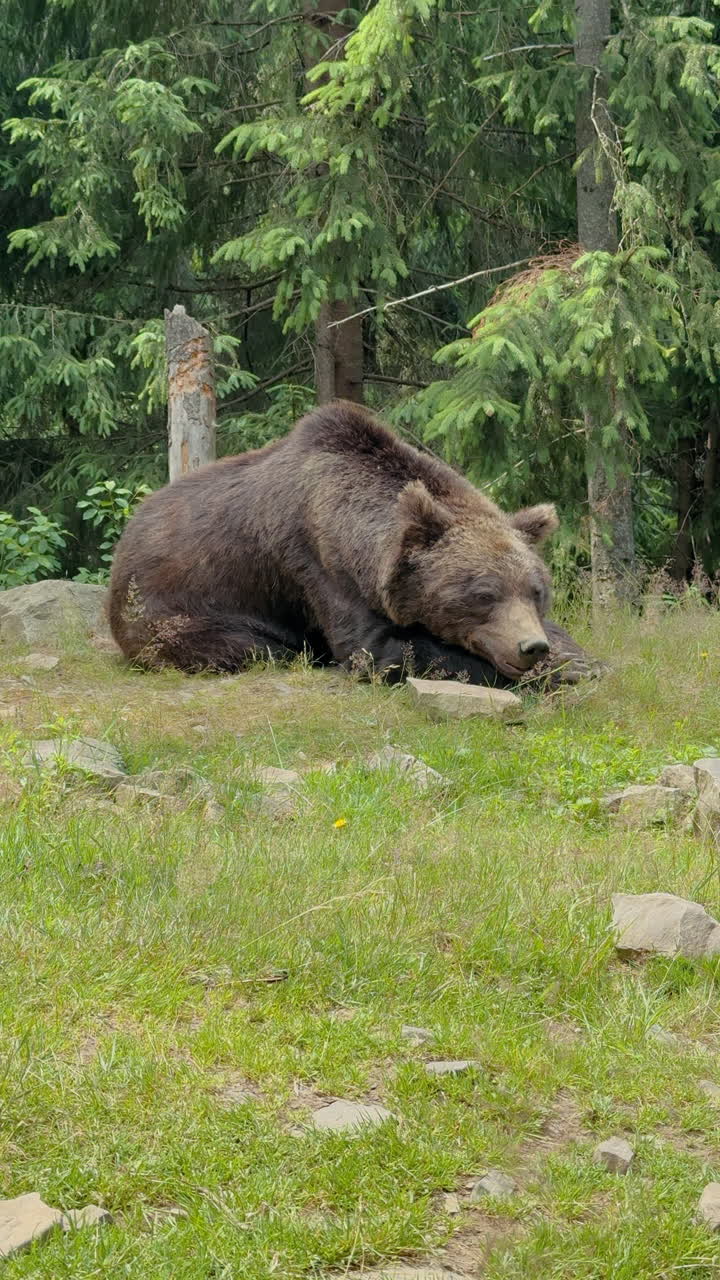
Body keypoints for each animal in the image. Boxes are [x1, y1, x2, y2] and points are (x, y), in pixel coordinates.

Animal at [108, 400, 594, 686]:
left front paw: (577, 657)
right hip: (175, 610)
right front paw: (549, 674)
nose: (530, 647)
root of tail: (126, 541)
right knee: (250, 647)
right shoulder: (316, 563)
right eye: (483, 594)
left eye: (537, 591)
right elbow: (378, 650)